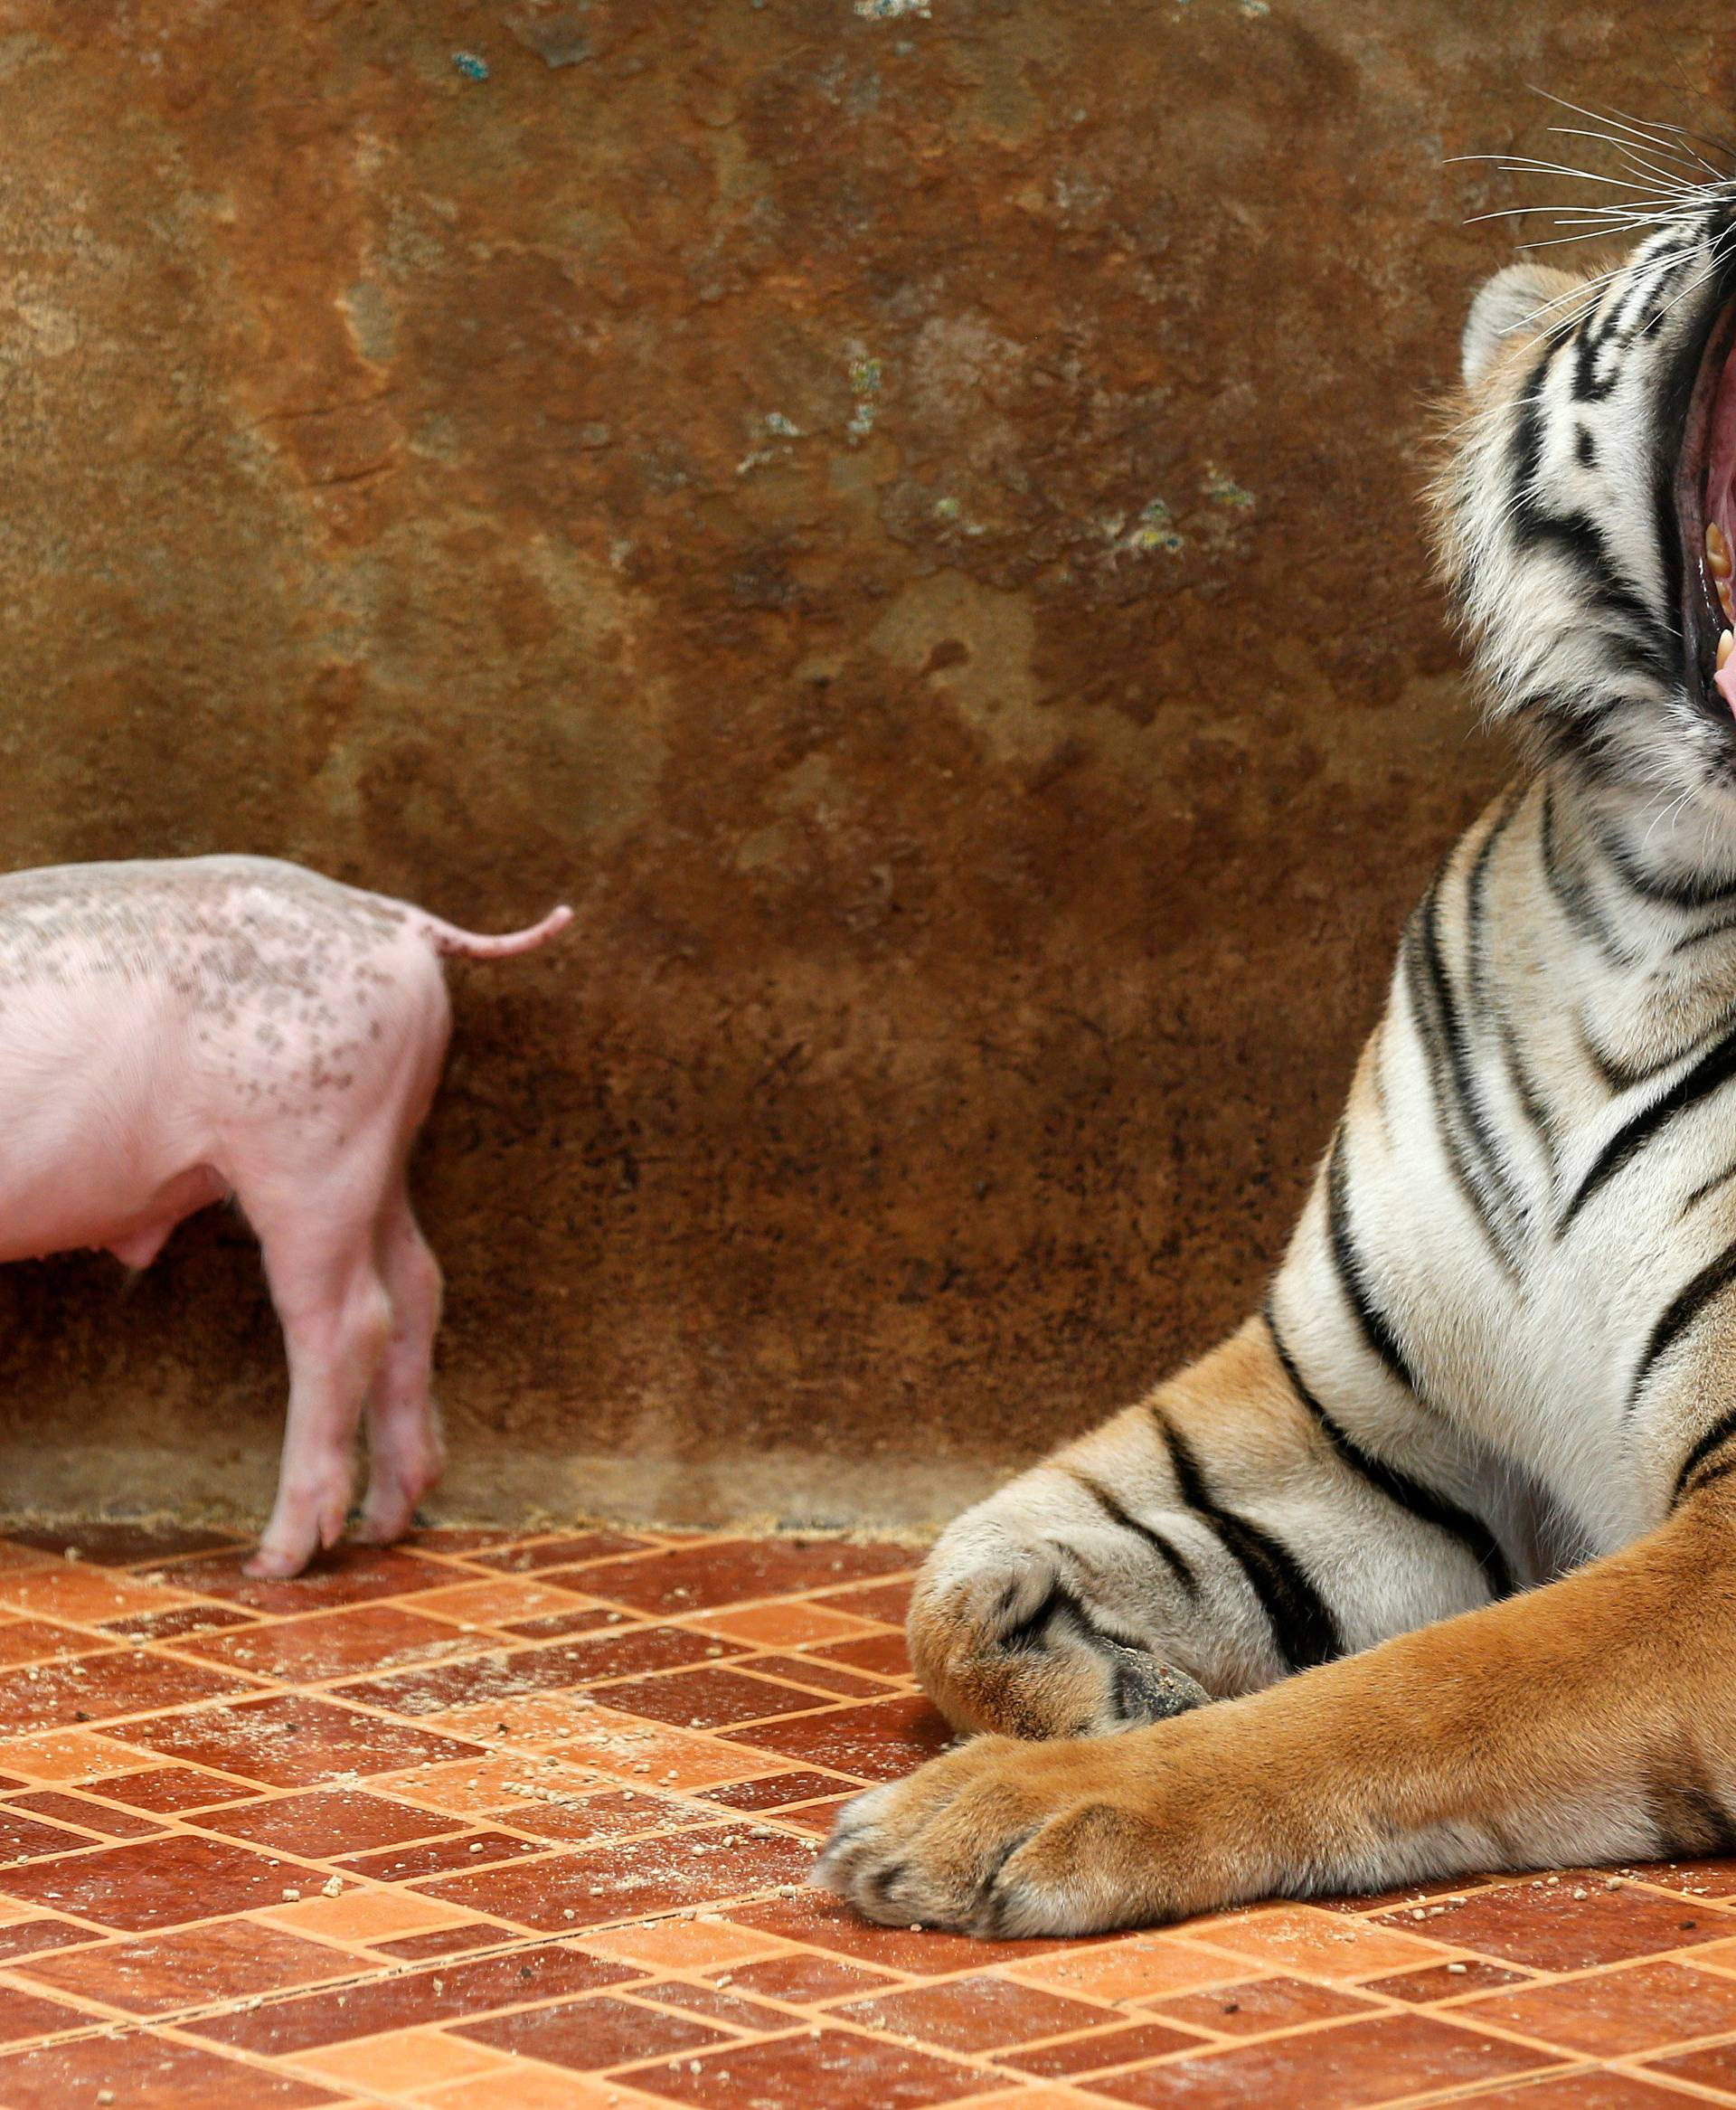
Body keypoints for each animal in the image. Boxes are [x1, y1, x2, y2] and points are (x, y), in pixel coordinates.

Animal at [0, 847, 573, 1578]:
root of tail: (396, 917)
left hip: (308, 1155)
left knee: (347, 1321)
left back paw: (274, 1558)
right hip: (380, 1142)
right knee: (416, 1282)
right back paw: (380, 1525)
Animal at [818, 156, 1736, 1933]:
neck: (1666, 912)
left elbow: (1428, 1687)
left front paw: (1020, 1803)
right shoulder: (1351, 1419)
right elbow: (954, 1578)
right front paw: (1103, 1680)